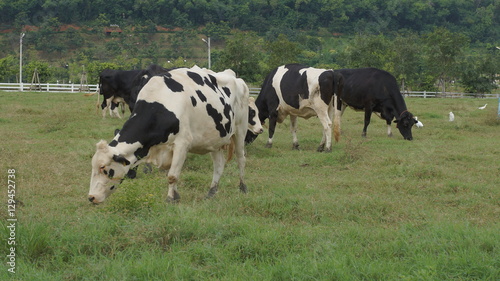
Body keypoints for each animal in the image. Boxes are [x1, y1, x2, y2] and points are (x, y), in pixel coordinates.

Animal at [88, 66, 264, 201]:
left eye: (104, 168)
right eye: (93, 167)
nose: (91, 197)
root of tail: (234, 77)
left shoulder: (182, 144)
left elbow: (172, 175)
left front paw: (171, 198)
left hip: (240, 130)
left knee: (241, 159)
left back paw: (243, 187)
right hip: (215, 139)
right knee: (219, 165)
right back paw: (211, 192)